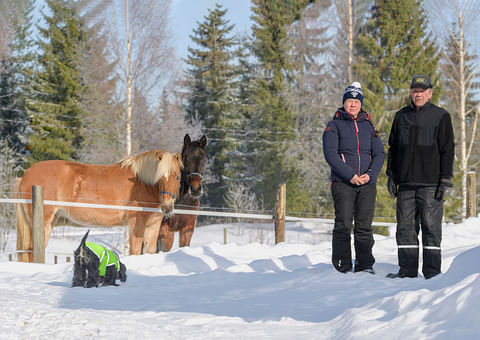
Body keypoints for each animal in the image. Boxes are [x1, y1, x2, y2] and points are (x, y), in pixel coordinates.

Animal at [16, 150, 182, 262]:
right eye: (160, 177)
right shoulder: (136, 224)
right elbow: (135, 251)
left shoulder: (153, 225)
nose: (167, 207)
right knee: (32, 249)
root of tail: (26, 175)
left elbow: (149, 251)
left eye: (177, 177)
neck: (142, 183)